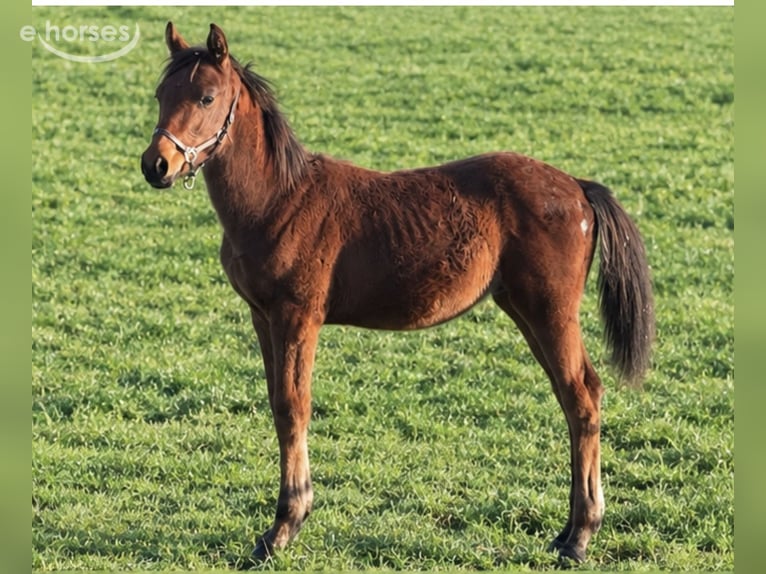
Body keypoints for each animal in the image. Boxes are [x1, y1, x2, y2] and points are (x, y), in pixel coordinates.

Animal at [141, 22, 654, 565]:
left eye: (206, 96)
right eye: (160, 94)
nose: (157, 165)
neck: (280, 198)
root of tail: (577, 187)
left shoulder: (297, 317)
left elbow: (292, 406)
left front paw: (283, 528)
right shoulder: (263, 317)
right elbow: (278, 403)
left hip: (550, 311)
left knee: (582, 396)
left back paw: (579, 537)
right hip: (524, 309)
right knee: (571, 395)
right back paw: (567, 531)